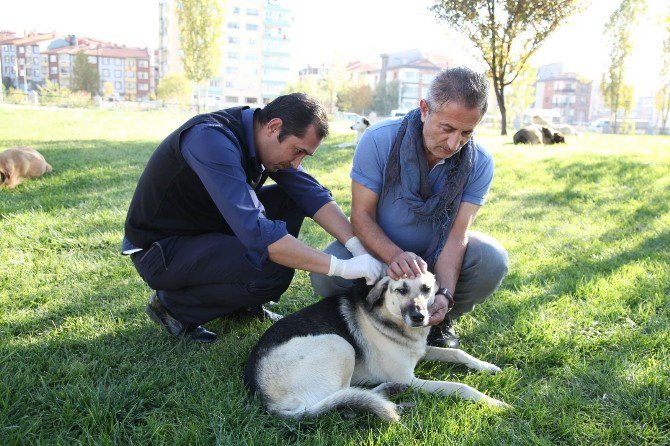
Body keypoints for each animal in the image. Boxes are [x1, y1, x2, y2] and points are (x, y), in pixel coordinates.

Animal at [245, 272, 510, 422]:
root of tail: (266, 399)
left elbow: (457, 352)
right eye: (400, 289)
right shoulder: (411, 378)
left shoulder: (421, 350)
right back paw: (385, 395)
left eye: (426, 289)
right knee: (342, 397)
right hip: (340, 344)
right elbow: (460, 386)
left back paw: (389, 391)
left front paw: (487, 366)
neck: (389, 317)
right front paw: (494, 402)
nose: (419, 317)